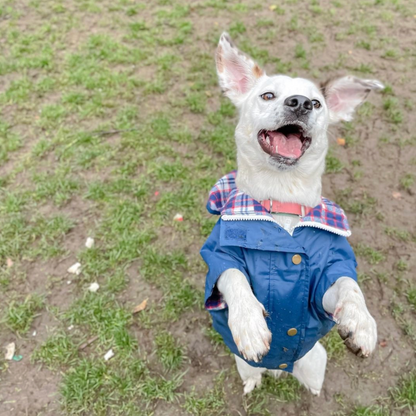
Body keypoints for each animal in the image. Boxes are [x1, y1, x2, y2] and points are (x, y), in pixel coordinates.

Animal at [200, 33, 382, 396]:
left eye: (318, 103)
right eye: (268, 94)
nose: (300, 103)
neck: (282, 200)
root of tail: (279, 369)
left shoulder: (322, 284)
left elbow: (347, 283)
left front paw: (361, 323)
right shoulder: (220, 254)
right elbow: (232, 275)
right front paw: (249, 324)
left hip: (315, 363)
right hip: (243, 364)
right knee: (252, 373)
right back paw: (253, 382)